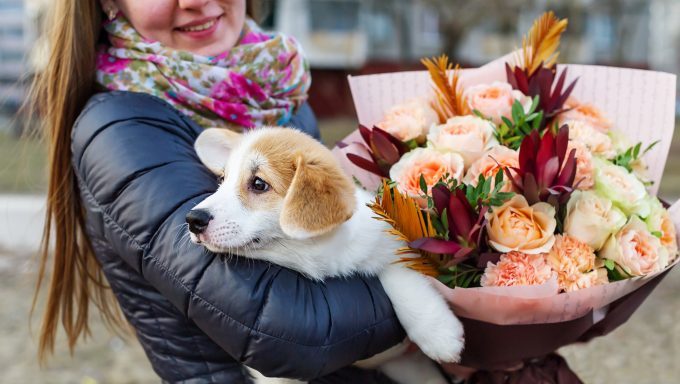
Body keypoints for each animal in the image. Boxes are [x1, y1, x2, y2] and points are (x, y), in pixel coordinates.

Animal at [186, 128, 462, 384]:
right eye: (223, 179)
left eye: (258, 184)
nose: (193, 219)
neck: (311, 255)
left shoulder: (391, 241)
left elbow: (398, 273)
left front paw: (438, 332)